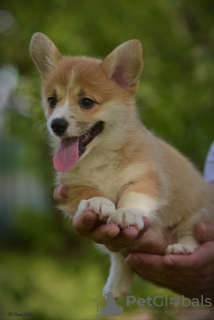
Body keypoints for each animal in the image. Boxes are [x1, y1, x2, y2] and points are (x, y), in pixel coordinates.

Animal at [29, 33, 212, 300]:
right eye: (52, 100)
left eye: (87, 102)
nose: (57, 125)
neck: (100, 155)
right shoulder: (71, 185)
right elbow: (88, 192)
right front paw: (97, 202)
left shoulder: (147, 176)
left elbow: (133, 194)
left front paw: (126, 213)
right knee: (119, 257)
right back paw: (115, 285)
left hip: (196, 213)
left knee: (189, 233)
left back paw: (181, 248)